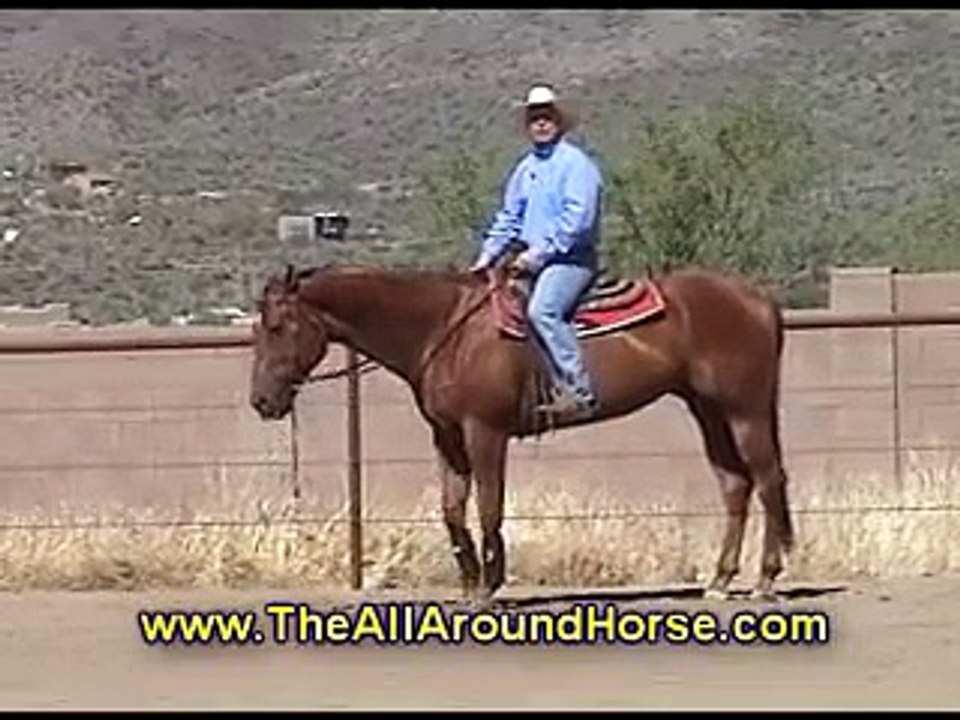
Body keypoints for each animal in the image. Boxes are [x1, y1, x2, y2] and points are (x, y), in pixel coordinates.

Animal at [248, 261, 795, 604]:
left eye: (277, 327)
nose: (261, 403)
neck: (446, 331)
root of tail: (758, 299)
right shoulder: (448, 436)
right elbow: (452, 511)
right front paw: (469, 585)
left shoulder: (485, 432)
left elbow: (489, 507)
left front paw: (491, 585)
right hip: (708, 409)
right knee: (736, 485)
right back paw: (721, 580)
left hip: (745, 409)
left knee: (768, 479)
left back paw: (766, 580)